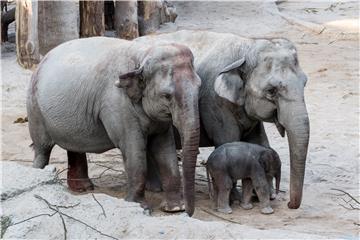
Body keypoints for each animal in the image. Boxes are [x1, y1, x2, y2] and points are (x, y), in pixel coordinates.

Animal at [27, 37, 202, 216]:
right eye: (167, 96)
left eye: (200, 86)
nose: (190, 213)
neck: (142, 55)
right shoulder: (118, 104)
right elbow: (132, 148)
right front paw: (139, 206)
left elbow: (165, 149)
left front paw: (175, 209)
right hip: (34, 109)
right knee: (42, 149)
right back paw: (38, 177)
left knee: (74, 147)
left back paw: (83, 189)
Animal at [136, 31, 310, 209]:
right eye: (271, 91)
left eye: (305, 83)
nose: (289, 204)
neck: (247, 46)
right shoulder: (215, 104)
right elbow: (228, 140)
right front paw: (236, 200)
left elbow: (259, 141)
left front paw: (261, 195)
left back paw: (156, 188)